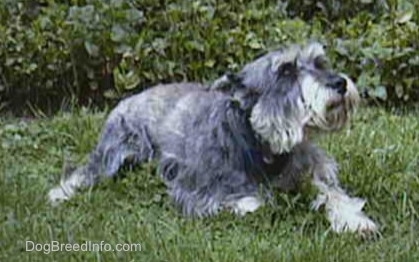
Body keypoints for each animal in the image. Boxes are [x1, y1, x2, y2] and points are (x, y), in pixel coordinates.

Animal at [48, 42, 378, 234]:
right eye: (285, 71)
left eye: (320, 63)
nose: (340, 83)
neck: (263, 147)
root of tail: (130, 97)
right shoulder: (198, 191)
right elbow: (255, 202)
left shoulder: (313, 172)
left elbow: (333, 194)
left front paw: (355, 221)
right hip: (116, 150)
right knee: (86, 171)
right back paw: (60, 193)